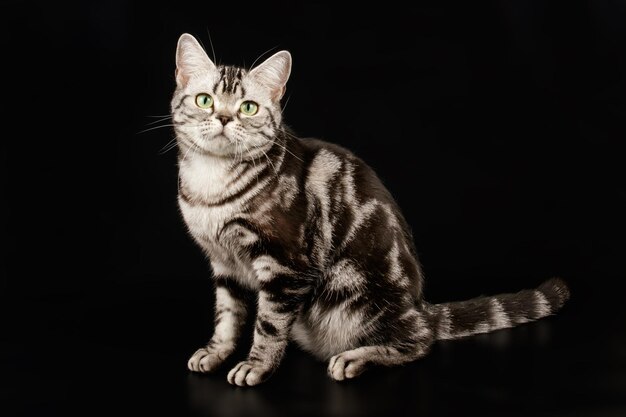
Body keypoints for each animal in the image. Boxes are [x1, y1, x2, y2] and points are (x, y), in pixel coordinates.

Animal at [168, 33, 568, 386]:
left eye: (248, 107)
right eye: (205, 100)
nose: (224, 118)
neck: (210, 186)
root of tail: (418, 305)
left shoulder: (285, 266)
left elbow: (267, 325)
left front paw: (256, 366)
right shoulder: (224, 264)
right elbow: (227, 317)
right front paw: (215, 353)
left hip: (354, 294)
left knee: (419, 340)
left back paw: (354, 358)